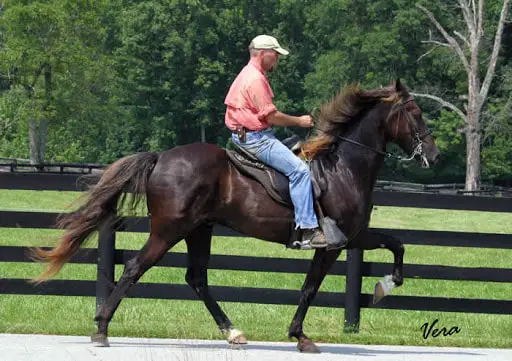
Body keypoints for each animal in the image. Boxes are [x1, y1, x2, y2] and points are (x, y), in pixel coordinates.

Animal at [32, 79, 440, 352]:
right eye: (416, 113)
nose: (434, 156)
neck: (343, 168)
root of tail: (161, 157)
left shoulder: (354, 236)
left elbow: (397, 244)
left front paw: (384, 285)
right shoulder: (335, 242)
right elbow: (312, 287)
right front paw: (302, 335)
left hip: (199, 229)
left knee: (197, 278)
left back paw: (233, 332)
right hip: (168, 231)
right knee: (135, 268)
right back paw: (101, 328)